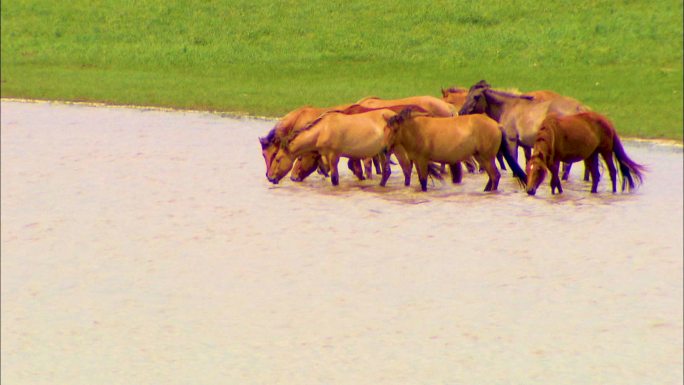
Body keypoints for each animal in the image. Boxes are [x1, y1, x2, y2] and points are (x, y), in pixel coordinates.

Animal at [382, 107, 528, 191]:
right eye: (385, 129)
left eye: (395, 129)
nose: (384, 149)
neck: (416, 131)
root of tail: (497, 125)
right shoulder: (417, 160)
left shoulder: (423, 160)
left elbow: (423, 181)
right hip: (480, 157)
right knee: (492, 177)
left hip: (487, 157)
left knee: (495, 176)